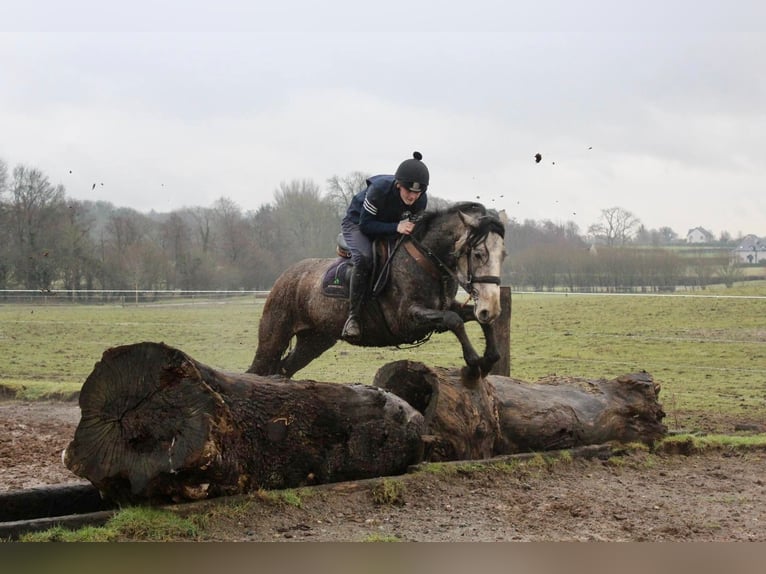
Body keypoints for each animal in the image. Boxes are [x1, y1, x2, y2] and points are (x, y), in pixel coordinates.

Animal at [248, 204, 510, 382]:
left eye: (503, 255)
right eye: (478, 254)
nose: (492, 307)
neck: (426, 260)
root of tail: (285, 276)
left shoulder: (444, 306)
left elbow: (475, 318)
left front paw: (489, 359)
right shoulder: (406, 318)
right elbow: (454, 320)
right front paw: (474, 362)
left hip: (315, 340)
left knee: (284, 368)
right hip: (275, 334)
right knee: (258, 369)